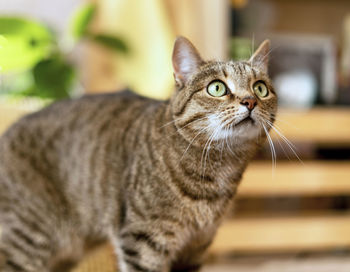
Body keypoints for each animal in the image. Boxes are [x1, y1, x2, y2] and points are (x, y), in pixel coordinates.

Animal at [0, 36, 276, 272]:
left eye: (261, 89)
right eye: (217, 88)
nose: (250, 101)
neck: (218, 170)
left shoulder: (197, 246)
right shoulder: (145, 241)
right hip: (26, 240)